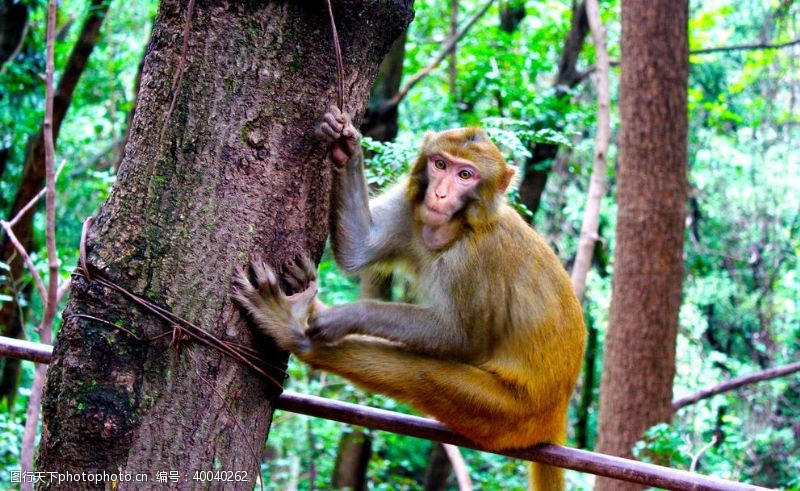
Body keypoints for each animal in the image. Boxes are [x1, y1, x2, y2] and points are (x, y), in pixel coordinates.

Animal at [233, 105, 588, 490]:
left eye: (466, 175)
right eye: (440, 164)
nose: (440, 195)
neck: (457, 228)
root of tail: (555, 418)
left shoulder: (478, 258)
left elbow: (462, 338)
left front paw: (347, 316)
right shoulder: (410, 206)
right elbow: (360, 248)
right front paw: (346, 147)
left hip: (508, 414)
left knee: (424, 376)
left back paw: (296, 332)